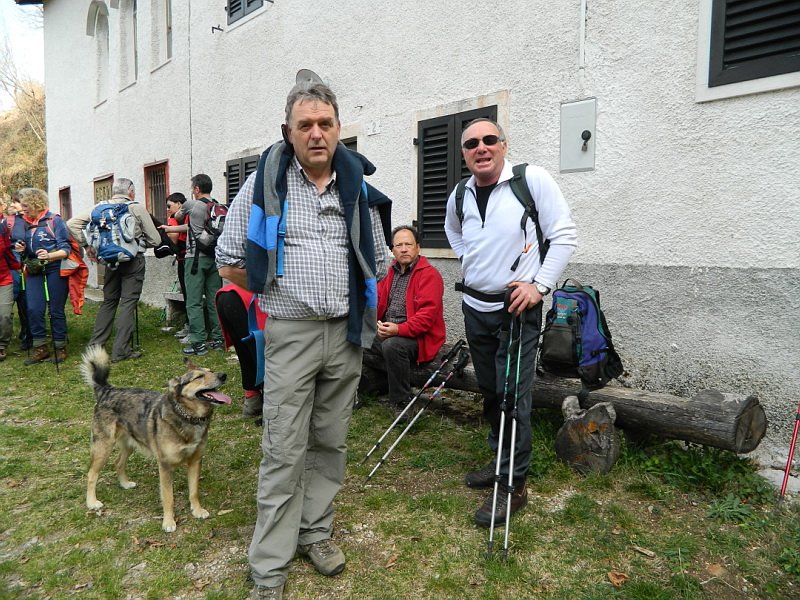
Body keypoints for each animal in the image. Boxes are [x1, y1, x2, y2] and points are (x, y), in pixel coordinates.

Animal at [82, 345, 230, 532]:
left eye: (211, 371)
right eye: (199, 377)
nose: (223, 375)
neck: (188, 417)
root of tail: (107, 390)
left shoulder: (195, 461)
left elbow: (194, 491)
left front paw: (197, 510)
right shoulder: (165, 466)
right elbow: (168, 497)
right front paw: (168, 522)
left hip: (130, 443)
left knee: (118, 462)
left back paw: (125, 484)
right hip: (103, 447)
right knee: (91, 474)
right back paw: (92, 502)